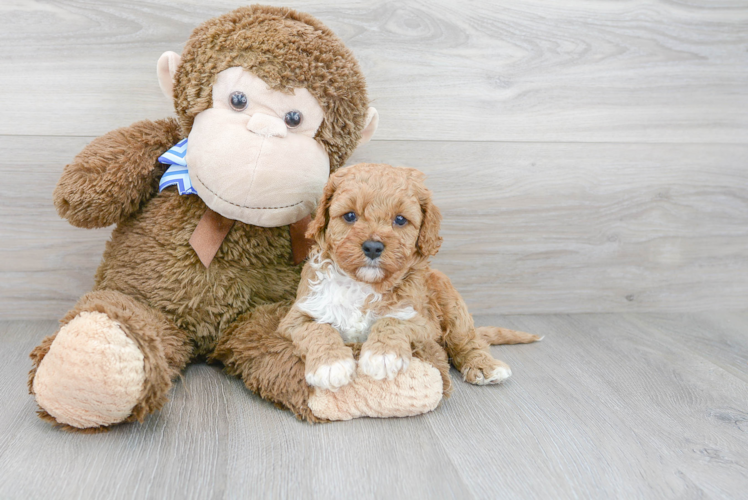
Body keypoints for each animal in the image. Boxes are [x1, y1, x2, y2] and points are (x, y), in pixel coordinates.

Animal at [280, 164, 536, 390]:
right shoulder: (297, 316)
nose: (373, 247)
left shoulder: (424, 322)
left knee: (468, 340)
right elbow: (318, 329)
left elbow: (393, 321)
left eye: (400, 220)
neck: (364, 285)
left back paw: (485, 367)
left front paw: (383, 355)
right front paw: (331, 364)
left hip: (452, 304)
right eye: (350, 216)